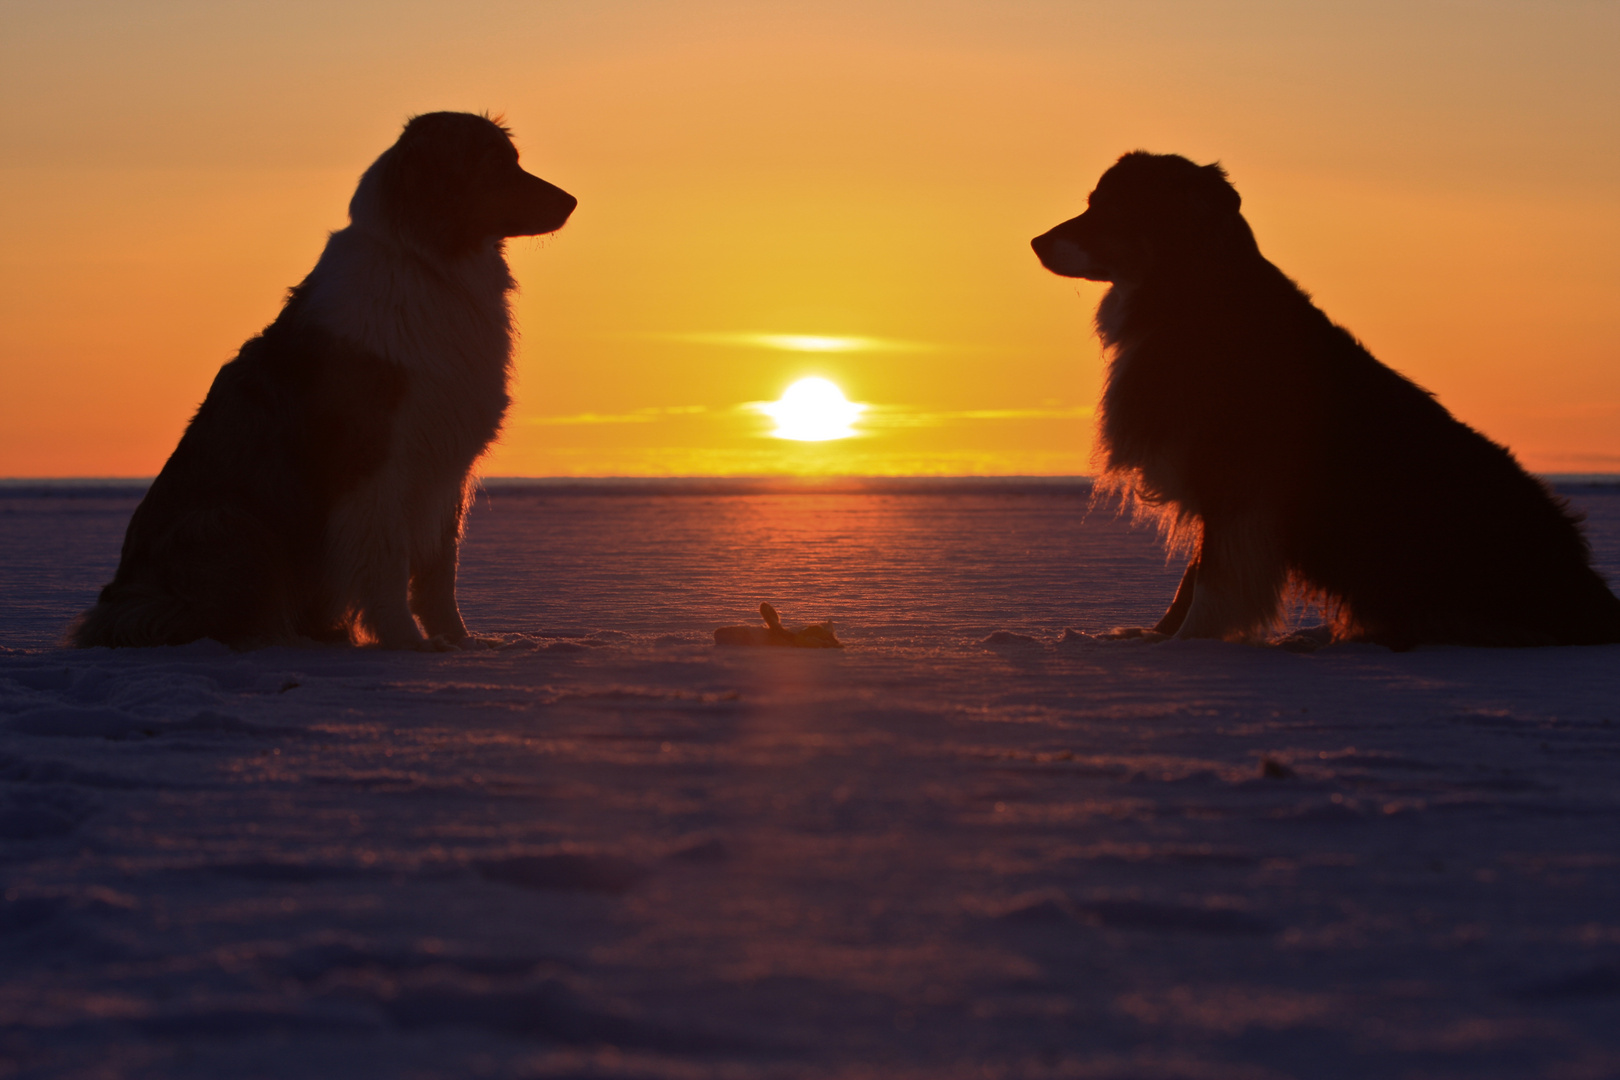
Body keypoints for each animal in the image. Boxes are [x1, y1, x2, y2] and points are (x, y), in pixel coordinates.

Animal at [71, 110, 576, 650]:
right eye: (497, 165)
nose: (572, 201)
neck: (427, 263)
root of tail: (118, 602)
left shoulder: (445, 463)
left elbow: (440, 572)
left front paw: (460, 643)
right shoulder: (376, 459)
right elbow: (387, 562)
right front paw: (408, 643)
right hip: (230, 521)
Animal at [1036, 152, 1620, 650]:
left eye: (1111, 208)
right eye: (1092, 201)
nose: (1036, 242)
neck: (1191, 299)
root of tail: (1594, 597)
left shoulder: (1239, 481)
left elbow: (1210, 580)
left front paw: (1185, 645)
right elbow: (1192, 577)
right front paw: (1150, 638)